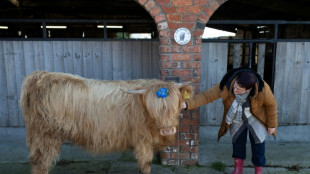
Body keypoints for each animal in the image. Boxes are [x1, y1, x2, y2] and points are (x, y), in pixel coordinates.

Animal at [20, 70, 191, 174]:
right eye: (153, 109)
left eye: (175, 105)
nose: (167, 130)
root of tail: (40, 75)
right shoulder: (143, 140)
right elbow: (146, 164)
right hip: (46, 135)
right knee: (40, 163)